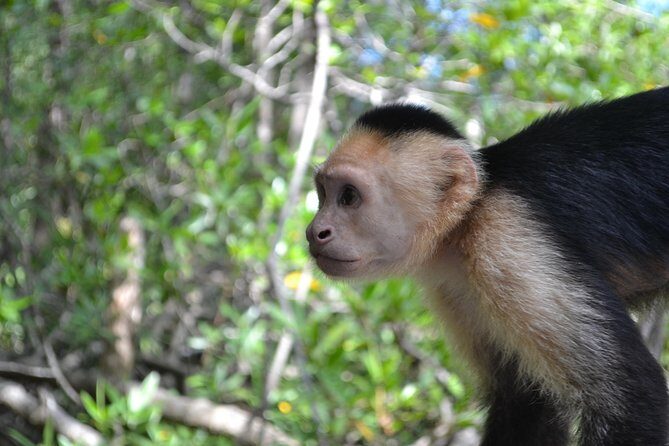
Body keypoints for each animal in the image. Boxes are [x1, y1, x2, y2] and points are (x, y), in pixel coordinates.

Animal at [306, 87, 669, 445]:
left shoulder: (508, 244)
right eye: (323, 192)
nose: (314, 231)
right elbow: (524, 400)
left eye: (349, 196)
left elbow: (629, 401)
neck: (466, 219)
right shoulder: (454, 285)